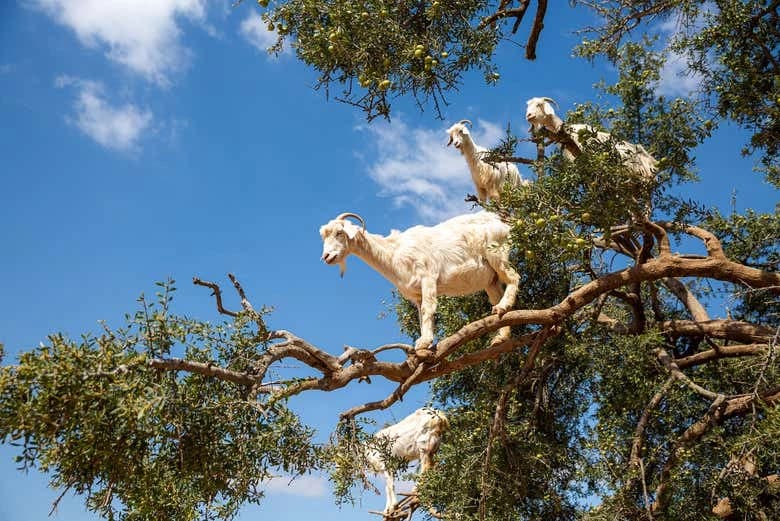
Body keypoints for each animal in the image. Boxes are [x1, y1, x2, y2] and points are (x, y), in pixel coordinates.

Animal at [319, 211, 519, 351]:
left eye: (339, 232)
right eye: (324, 236)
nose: (326, 257)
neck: (394, 253)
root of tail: (502, 224)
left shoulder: (428, 277)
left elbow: (428, 309)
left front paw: (424, 343)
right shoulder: (415, 294)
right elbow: (421, 316)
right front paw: (423, 343)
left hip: (496, 254)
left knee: (514, 277)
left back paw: (503, 307)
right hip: (490, 279)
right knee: (498, 293)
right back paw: (501, 334)